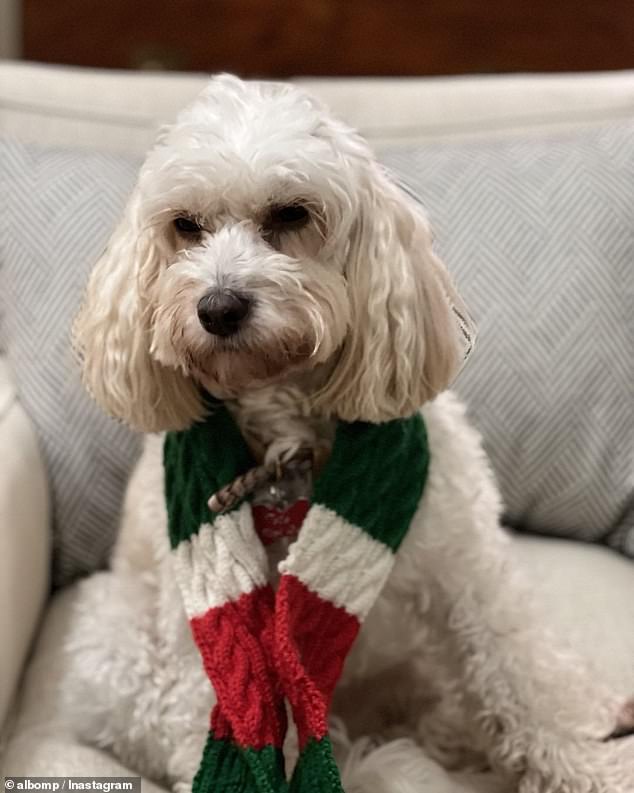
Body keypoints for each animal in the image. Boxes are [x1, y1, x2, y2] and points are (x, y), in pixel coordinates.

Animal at [66, 76, 628, 792]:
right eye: (185, 226)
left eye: (291, 214)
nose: (217, 308)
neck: (291, 445)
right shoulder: (198, 633)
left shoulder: (467, 569)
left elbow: (520, 670)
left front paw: (587, 767)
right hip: (109, 645)